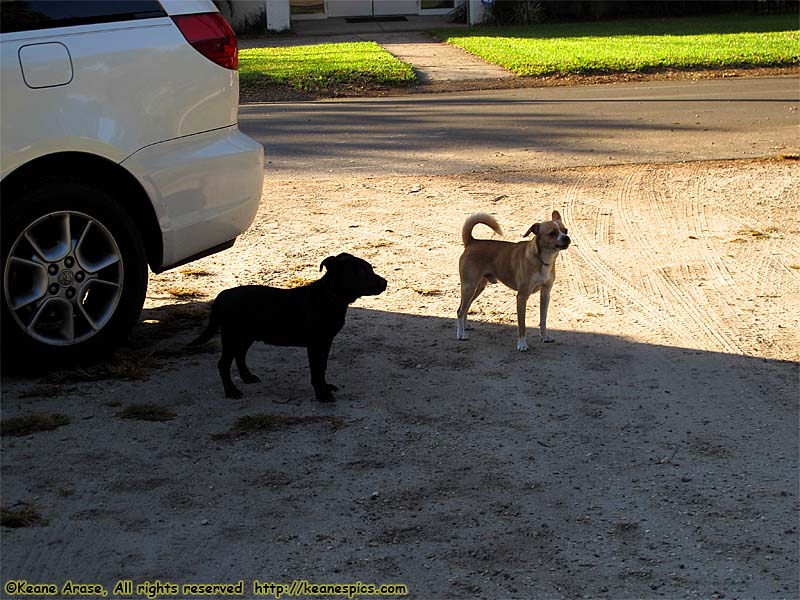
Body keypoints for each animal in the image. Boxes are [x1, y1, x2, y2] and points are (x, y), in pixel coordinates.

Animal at [189, 251, 386, 400]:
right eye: (363, 272)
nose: (386, 282)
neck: (330, 296)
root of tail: (223, 295)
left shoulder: (326, 342)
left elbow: (322, 366)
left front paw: (325, 386)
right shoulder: (315, 344)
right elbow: (316, 369)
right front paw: (321, 395)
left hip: (246, 335)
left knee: (240, 355)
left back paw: (247, 377)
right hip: (232, 335)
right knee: (223, 364)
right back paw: (231, 391)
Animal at [456, 211, 568, 352]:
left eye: (565, 230)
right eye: (552, 233)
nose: (566, 237)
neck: (542, 260)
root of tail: (472, 242)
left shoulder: (545, 294)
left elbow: (543, 319)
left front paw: (544, 337)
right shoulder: (522, 297)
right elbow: (522, 324)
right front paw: (522, 344)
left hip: (477, 288)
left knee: (465, 307)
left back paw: (465, 327)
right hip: (469, 287)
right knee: (460, 310)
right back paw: (461, 334)